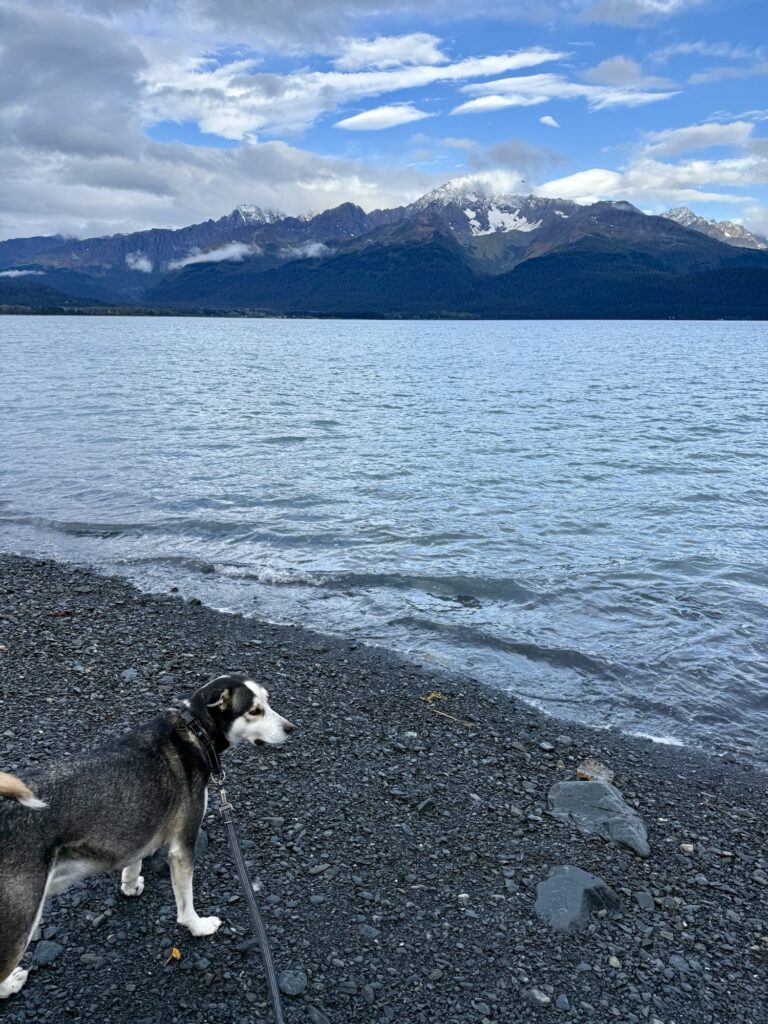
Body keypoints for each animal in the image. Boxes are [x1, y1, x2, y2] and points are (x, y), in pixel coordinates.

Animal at [0, 672, 293, 999]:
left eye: (267, 701)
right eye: (254, 711)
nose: (291, 729)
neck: (194, 729)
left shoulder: (139, 829)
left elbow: (133, 862)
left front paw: (130, 886)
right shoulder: (183, 845)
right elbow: (185, 904)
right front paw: (199, 927)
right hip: (20, 919)